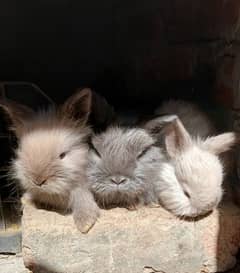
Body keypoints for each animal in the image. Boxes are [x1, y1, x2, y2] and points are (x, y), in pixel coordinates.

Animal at [0, 88, 99, 233]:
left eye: (62, 155)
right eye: (22, 150)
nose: (38, 181)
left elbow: (82, 197)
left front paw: (85, 224)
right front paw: (26, 200)